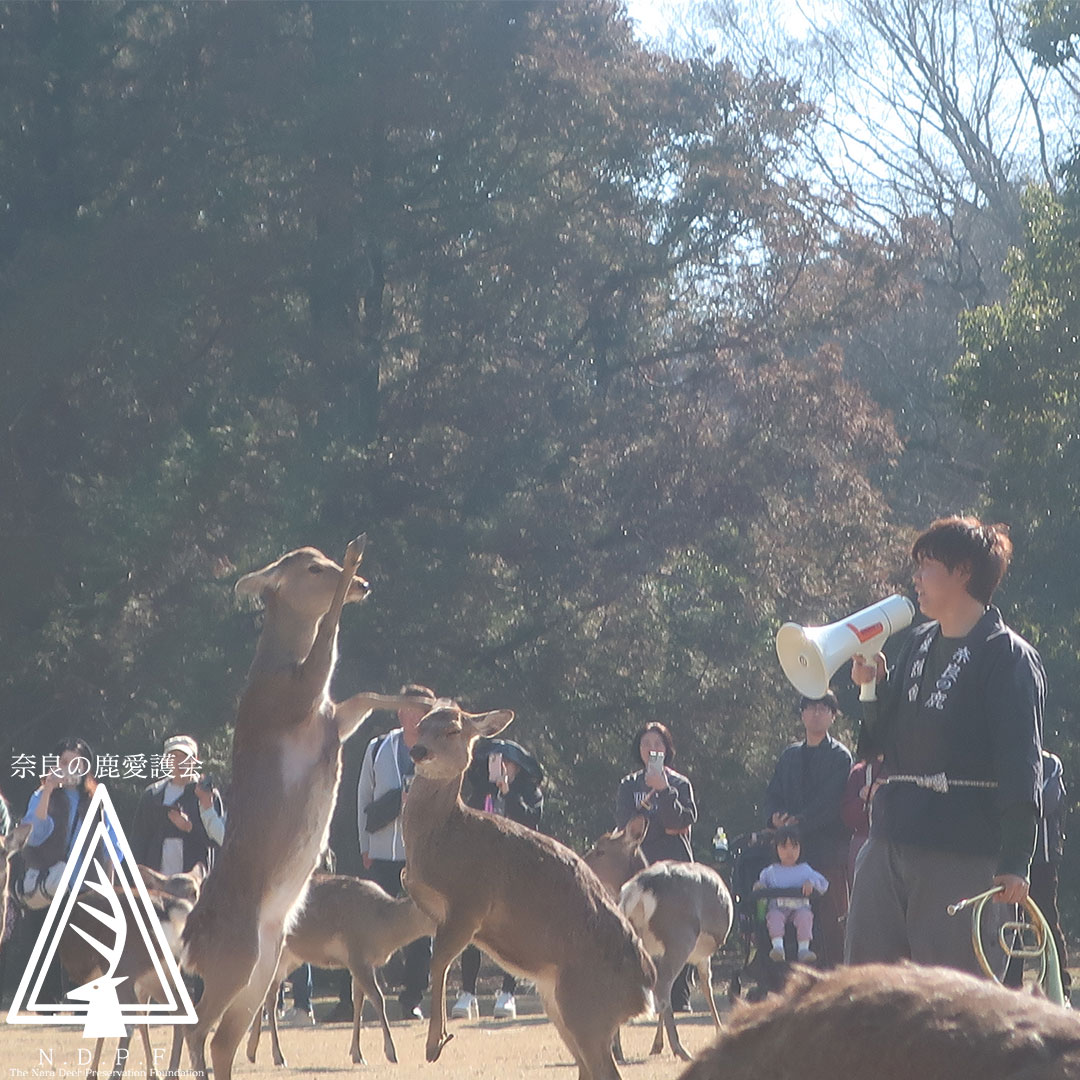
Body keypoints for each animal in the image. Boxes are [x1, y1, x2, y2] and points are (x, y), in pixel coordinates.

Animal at [178, 536, 414, 1080]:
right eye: (311, 567)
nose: (365, 584)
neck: (277, 668)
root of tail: (190, 943)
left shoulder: (328, 716)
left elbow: (362, 695)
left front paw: (425, 699)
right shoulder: (296, 699)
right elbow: (327, 637)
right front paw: (356, 554)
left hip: (263, 967)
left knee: (219, 1039)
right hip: (234, 960)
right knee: (197, 1029)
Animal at [245, 872, 434, 1068]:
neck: (381, 928)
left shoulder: (360, 963)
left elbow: (358, 1001)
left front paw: (357, 1054)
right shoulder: (357, 955)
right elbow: (377, 998)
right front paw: (391, 1053)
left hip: (290, 958)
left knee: (264, 991)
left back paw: (252, 1053)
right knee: (269, 995)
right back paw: (278, 1057)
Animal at [401, 701, 656, 1080]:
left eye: (453, 729)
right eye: (421, 725)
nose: (418, 751)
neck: (438, 838)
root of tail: (643, 995)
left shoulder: (470, 902)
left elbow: (439, 962)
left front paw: (436, 1043)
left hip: (586, 1007)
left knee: (606, 1069)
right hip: (560, 1005)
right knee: (589, 1068)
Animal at [584, 815, 733, 1062]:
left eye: (601, 850)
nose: (581, 862)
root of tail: (637, 888)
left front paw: (656, 1045)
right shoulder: (702, 953)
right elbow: (707, 986)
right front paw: (720, 1031)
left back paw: (617, 1050)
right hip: (680, 937)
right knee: (663, 985)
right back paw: (681, 1049)